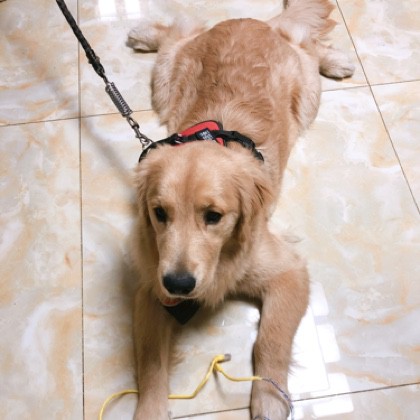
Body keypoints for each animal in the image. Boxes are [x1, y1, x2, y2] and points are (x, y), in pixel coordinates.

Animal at [127, 1, 354, 418]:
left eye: (214, 216)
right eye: (159, 214)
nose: (179, 284)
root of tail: (253, 23)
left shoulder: (287, 272)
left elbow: (269, 340)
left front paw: (269, 399)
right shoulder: (151, 287)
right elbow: (150, 366)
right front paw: (150, 410)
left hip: (307, 96)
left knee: (305, 43)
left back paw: (335, 61)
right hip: (166, 80)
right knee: (178, 33)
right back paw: (144, 34)